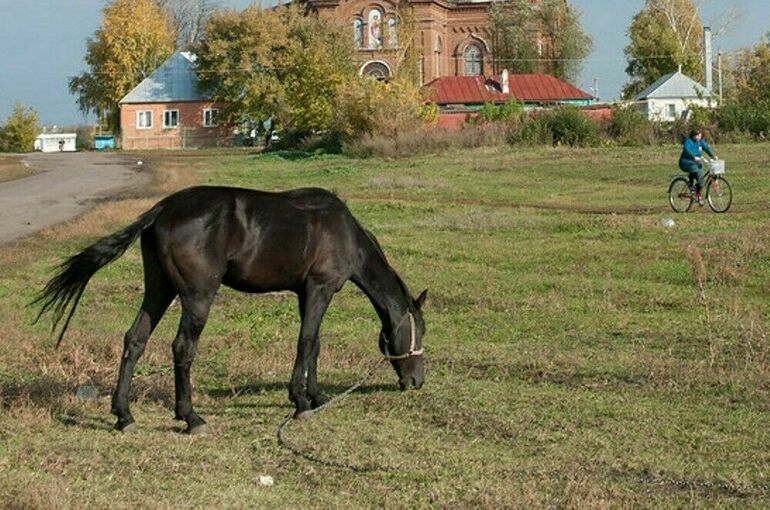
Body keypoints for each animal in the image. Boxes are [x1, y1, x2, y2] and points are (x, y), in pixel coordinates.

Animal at [33, 185, 424, 432]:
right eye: (421, 330)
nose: (417, 381)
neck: (344, 232)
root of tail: (162, 210)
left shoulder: (306, 293)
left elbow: (313, 344)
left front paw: (316, 396)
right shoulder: (320, 289)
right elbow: (306, 342)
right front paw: (300, 400)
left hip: (159, 289)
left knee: (135, 340)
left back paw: (123, 416)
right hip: (197, 297)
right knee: (183, 348)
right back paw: (191, 418)